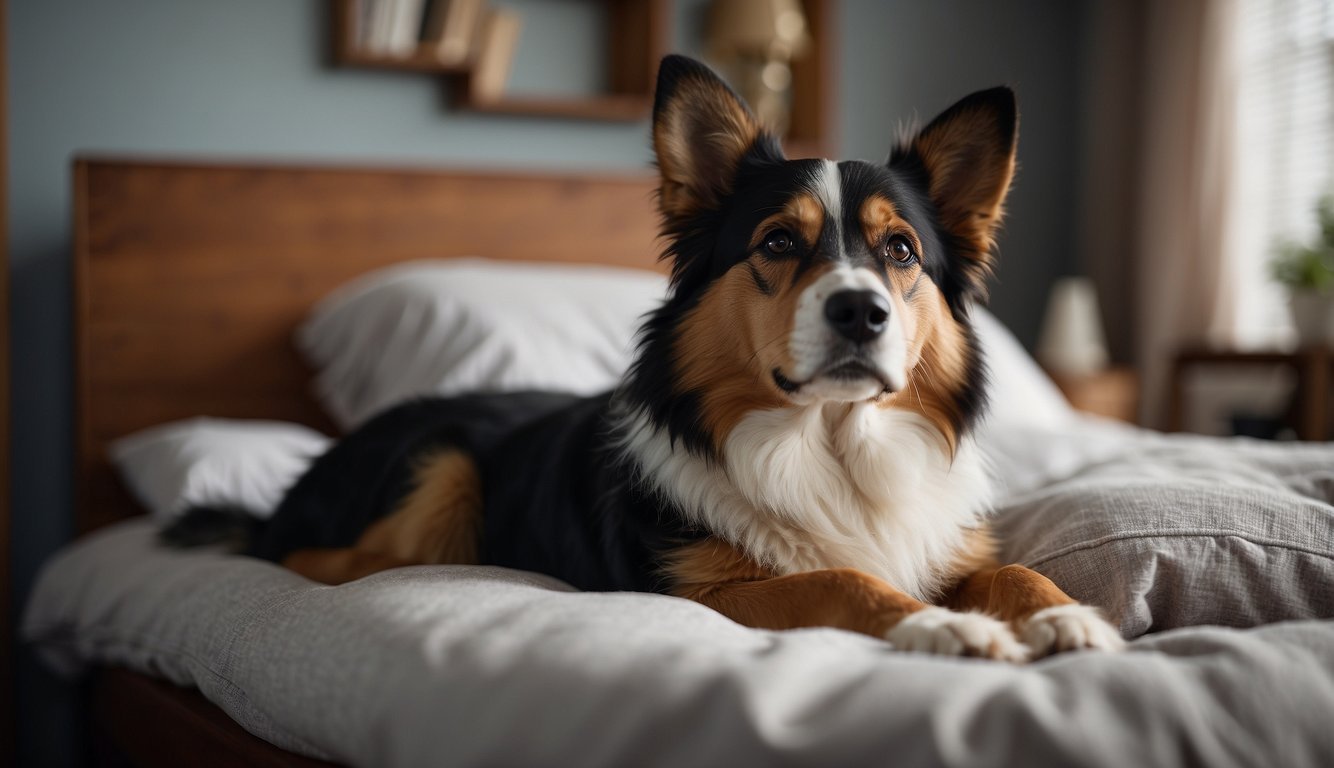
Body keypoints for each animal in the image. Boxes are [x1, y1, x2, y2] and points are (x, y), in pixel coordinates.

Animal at [166, 57, 1125, 664]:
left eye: (900, 252)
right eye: (778, 243)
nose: (861, 310)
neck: (829, 445)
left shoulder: (945, 547)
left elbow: (1009, 568)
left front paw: (1067, 616)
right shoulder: (698, 596)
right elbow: (839, 577)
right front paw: (942, 629)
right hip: (439, 473)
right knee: (310, 561)